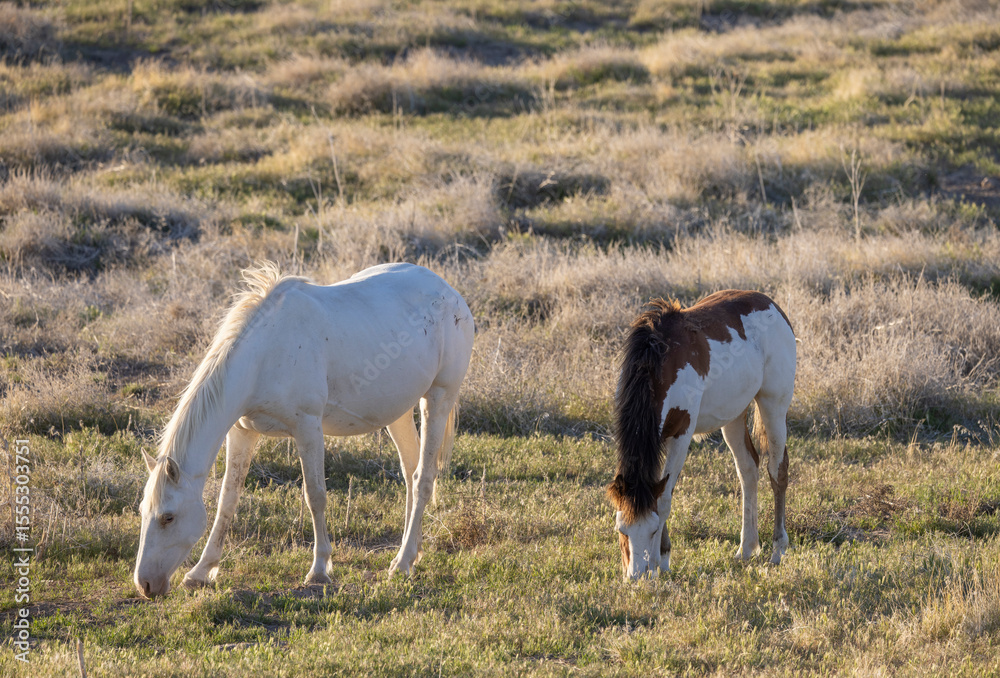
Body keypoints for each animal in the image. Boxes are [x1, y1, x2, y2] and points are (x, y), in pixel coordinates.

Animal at [134, 262, 475, 598]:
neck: (263, 355)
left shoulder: (307, 428)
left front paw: (320, 569)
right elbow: (227, 500)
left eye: (168, 517)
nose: (145, 585)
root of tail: (451, 293)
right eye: (142, 511)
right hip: (397, 411)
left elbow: (316, 496)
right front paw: (201, 571)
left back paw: (402, 564)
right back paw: (410, 553)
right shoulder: (242, 432)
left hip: (438, 398)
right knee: (410, 470)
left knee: (423, 479)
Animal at [607, 290, 796, 581]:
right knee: (748, 470)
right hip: (733, 416)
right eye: (621, 531)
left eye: (652, 530)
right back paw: (747, 548)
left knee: (777, 471)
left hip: (773, 406)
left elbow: (663, 500)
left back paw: (777, 550)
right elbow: (661, 492)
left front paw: (661, 561)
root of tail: (771, 304)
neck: (660, 361)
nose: (637, 576)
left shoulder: (680, 434)